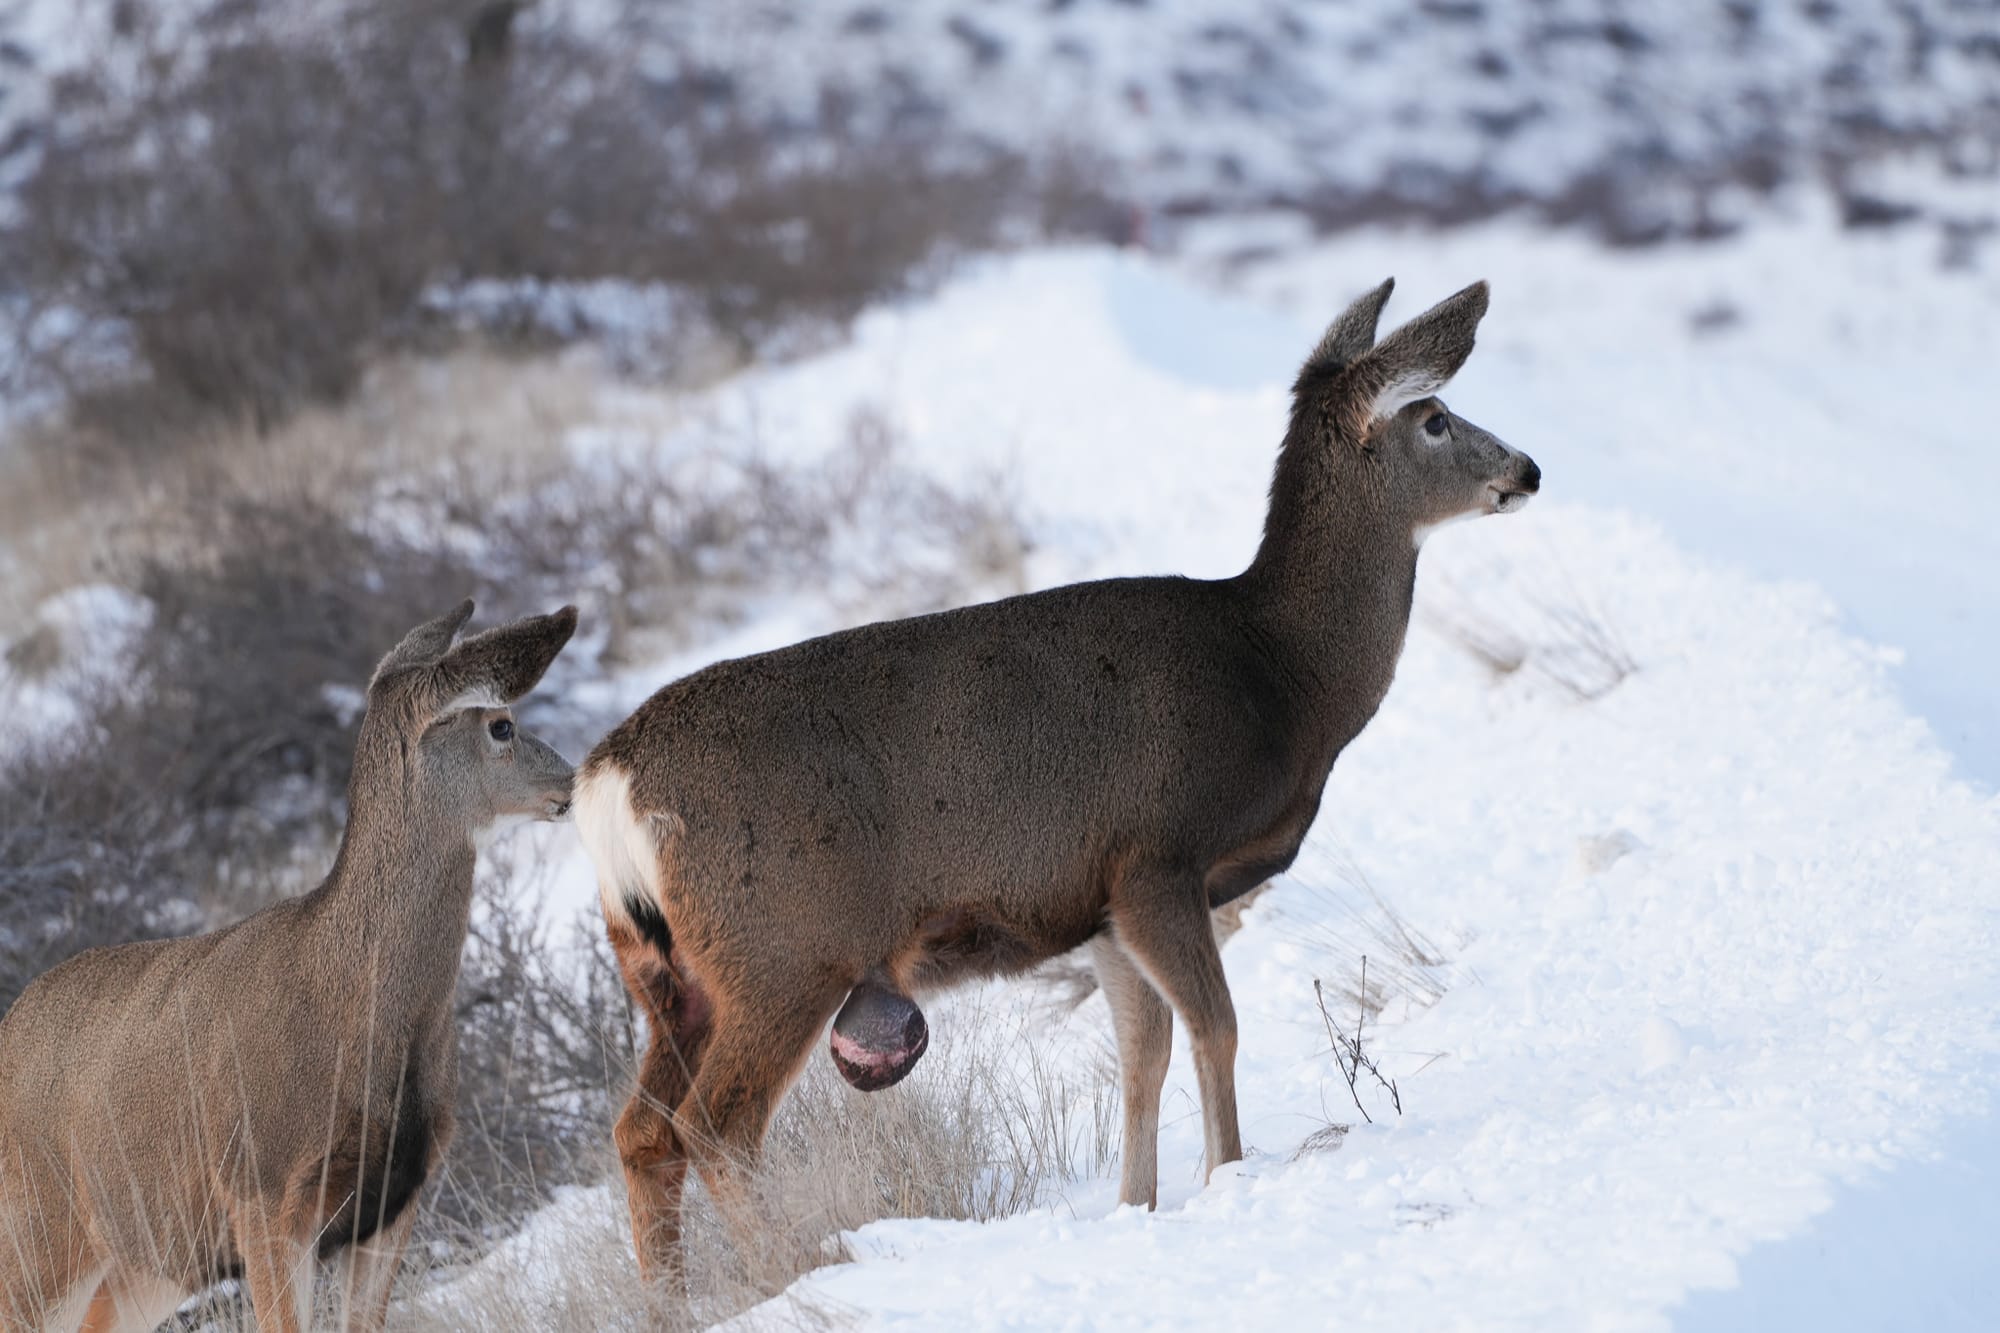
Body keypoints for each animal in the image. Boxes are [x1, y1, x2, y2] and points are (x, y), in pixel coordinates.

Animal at [0, 600, 580, 1328]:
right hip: (37, 1234)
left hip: (141, 1263)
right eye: (502, 724)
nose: (572, 779)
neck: (357, 1007)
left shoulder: (396, 1199)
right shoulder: (265, 1192)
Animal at [572, 272, 1536, 1280]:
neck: (1278, 674)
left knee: (641, 1131)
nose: (1529, 469)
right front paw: (1228, 1177)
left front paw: (1137, 1203)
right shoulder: (1157, 857)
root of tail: (607, 781)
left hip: (668, 975)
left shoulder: (1101, 901)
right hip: (783, 948)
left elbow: (1142, 1052)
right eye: (1434, 417)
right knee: (715, 1126)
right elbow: (1217, 1025)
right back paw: (792, 1265)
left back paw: (678, 1297)